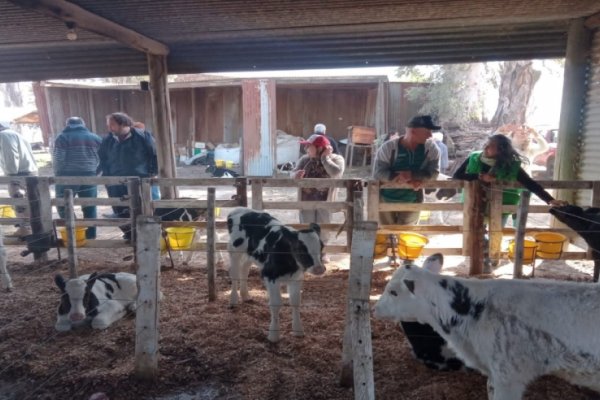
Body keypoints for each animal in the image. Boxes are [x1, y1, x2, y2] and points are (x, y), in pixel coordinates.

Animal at [227, 208, 326, 342]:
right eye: (299, 248)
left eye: (322, 246)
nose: (319, 269)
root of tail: (238, 210)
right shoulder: (270, 276)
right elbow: (276, 304)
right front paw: (274, 335)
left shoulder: (296, 279)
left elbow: (295, 302)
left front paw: (298, 330)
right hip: (234, 251)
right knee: (235, 274)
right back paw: (233, 300)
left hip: (251, 254)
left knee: (244, 269)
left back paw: (246, 295)